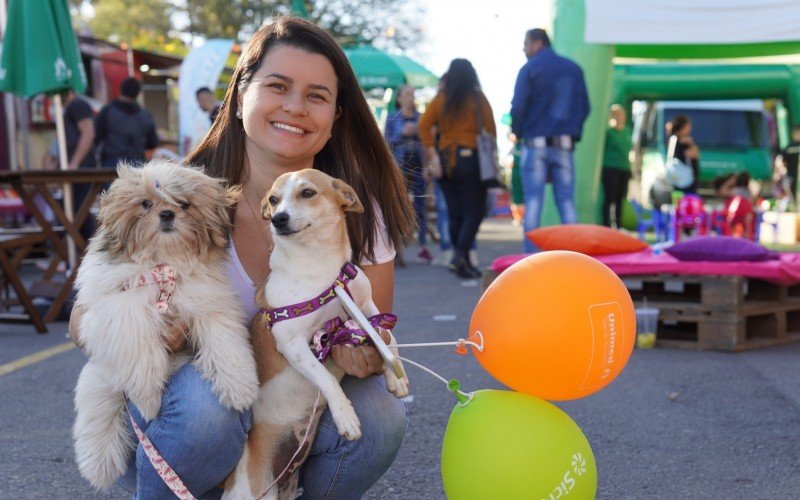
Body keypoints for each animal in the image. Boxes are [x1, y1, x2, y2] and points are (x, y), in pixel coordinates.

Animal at [74, 160, 258, 488]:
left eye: (184, 204)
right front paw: (147, 398)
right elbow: (139, 347)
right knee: (99, 407)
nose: (167, 214)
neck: (164, 264)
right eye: (146, 204)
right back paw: (98, 464)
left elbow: (225, 341)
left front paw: (240, 389)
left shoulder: (209, 303)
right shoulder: (122, 307)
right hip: (101, 374)